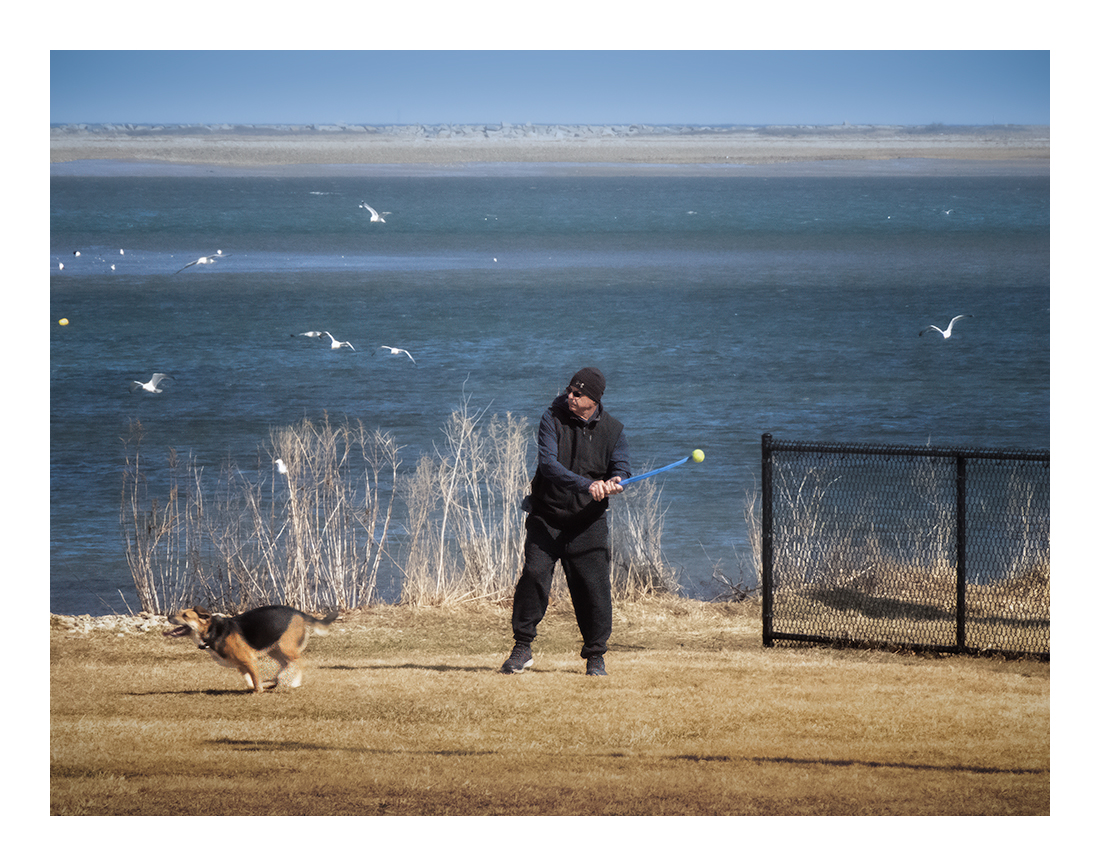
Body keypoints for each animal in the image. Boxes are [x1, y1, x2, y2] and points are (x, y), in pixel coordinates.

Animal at [165, 607, 336, 695]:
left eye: (185, 615)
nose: (168, 616)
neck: (213, 631)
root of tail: (300, 613)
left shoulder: (249, 660)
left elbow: (254, 682)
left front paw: (259, 690)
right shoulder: (241, 665)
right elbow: (249, 682)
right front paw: (265, 684)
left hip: (286, 647)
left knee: (300, 662)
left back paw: (294, 682)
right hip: (274, 648)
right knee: (285, 664)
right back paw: (276, 679)